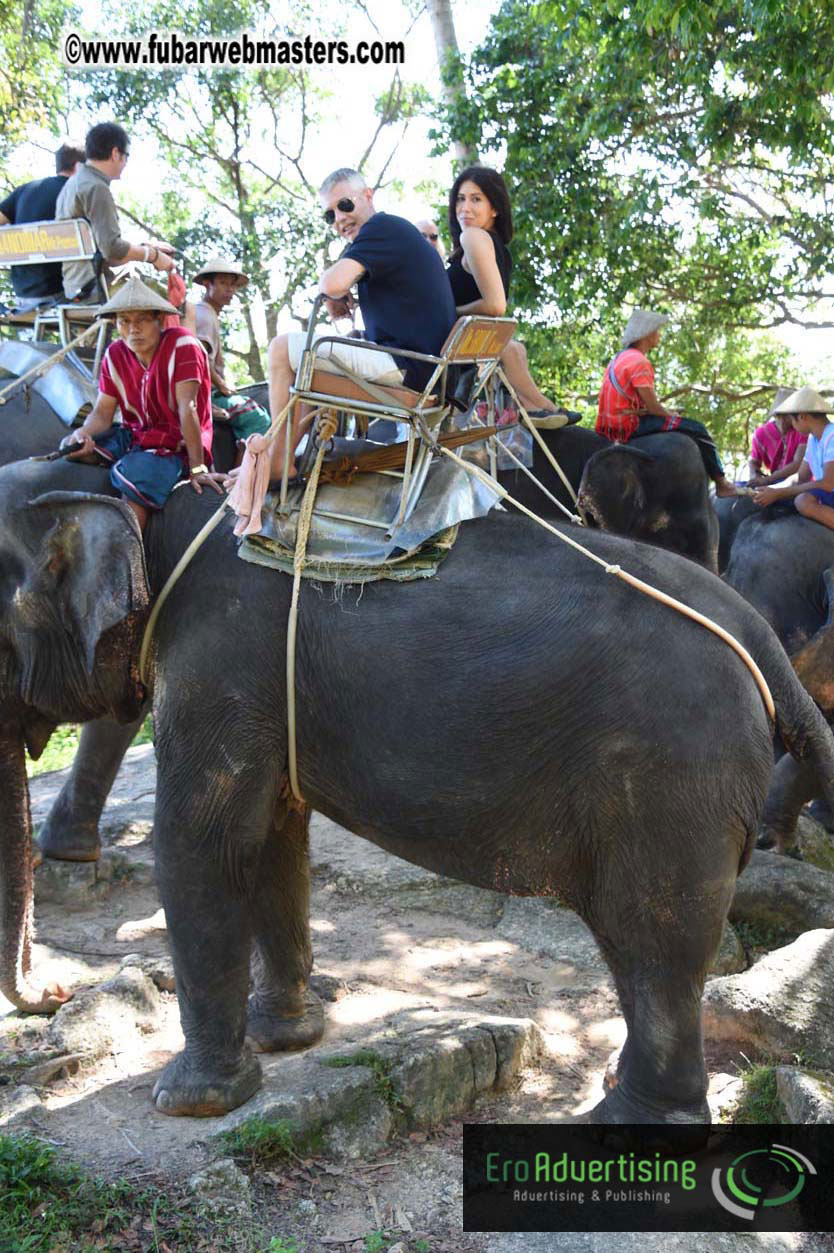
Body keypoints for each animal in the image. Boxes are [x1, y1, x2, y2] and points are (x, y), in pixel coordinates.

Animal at [2, 457, 834, 1128]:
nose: (54, 994)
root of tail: (758, 641)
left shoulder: (220, 664)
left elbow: (201, 845)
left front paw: (188, 1102)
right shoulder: (262, 689)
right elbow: (275, 835)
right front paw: (287, 1038)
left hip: (673, 780)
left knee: (654, 940)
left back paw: (625, 1124)